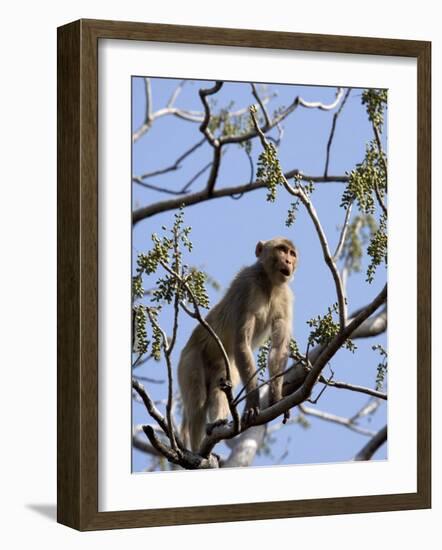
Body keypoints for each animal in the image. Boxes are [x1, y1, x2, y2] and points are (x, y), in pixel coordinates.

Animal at [176, 237, 296, 452]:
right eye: (282, 250)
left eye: (292, 253)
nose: (289, 261)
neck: (269, 284)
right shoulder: (246, 284)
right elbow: (241, 343)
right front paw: (252, 403)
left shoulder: (286, 298)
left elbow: (278, 350)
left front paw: (276, 397)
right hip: (189, 359)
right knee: (198, 402)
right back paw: (197, 452)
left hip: (225, 365)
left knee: (219, 387)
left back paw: (217, 422)